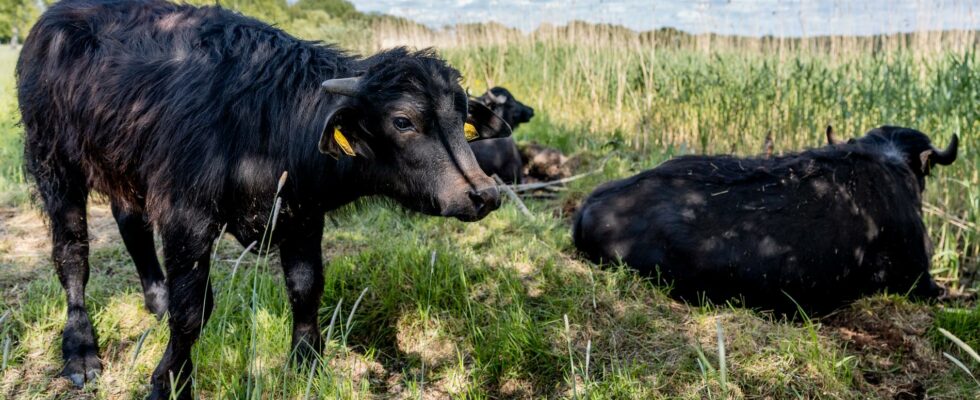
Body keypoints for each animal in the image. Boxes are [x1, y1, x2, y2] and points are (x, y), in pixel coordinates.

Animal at [19, 1, 512, 398]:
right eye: (403, 121)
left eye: (462, 117)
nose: (482, 194)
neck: (269, 119)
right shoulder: (186, 217)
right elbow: (192, 310)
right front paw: (170, 381)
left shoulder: (302, 216)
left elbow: (306, 288)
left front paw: (307, 362)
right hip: (53, 161)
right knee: (72, 253)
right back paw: (80, 350)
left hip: (125, 168)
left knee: (130, 222)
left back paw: (155, 299)